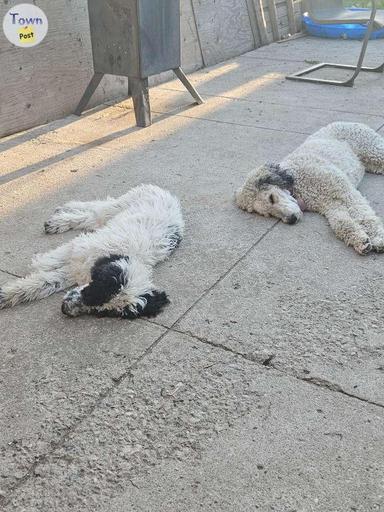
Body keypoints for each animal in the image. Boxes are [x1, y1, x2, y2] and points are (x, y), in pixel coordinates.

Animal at [0, 184, 184, 318]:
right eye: (96, 293)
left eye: (106, 312)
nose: (65, 309)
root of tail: (165, 193)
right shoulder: (80, 248)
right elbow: (53, 260)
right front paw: (39, 263)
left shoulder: (75, 271)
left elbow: (46, 283)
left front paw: (7, 295)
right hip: (117, 206)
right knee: (98, 206)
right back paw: (63, 212)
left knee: (89, 217)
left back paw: (60, 219)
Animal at [236, 122, 384, 254]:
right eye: (267, 214)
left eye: (271, 198)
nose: (291, 220)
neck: (297, 183)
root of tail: (351, 122)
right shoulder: (330, 204)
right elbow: (341, 222)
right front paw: (361, 241)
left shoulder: (345, 192)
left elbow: (364, 216)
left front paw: (378, 238)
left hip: (374, 151)